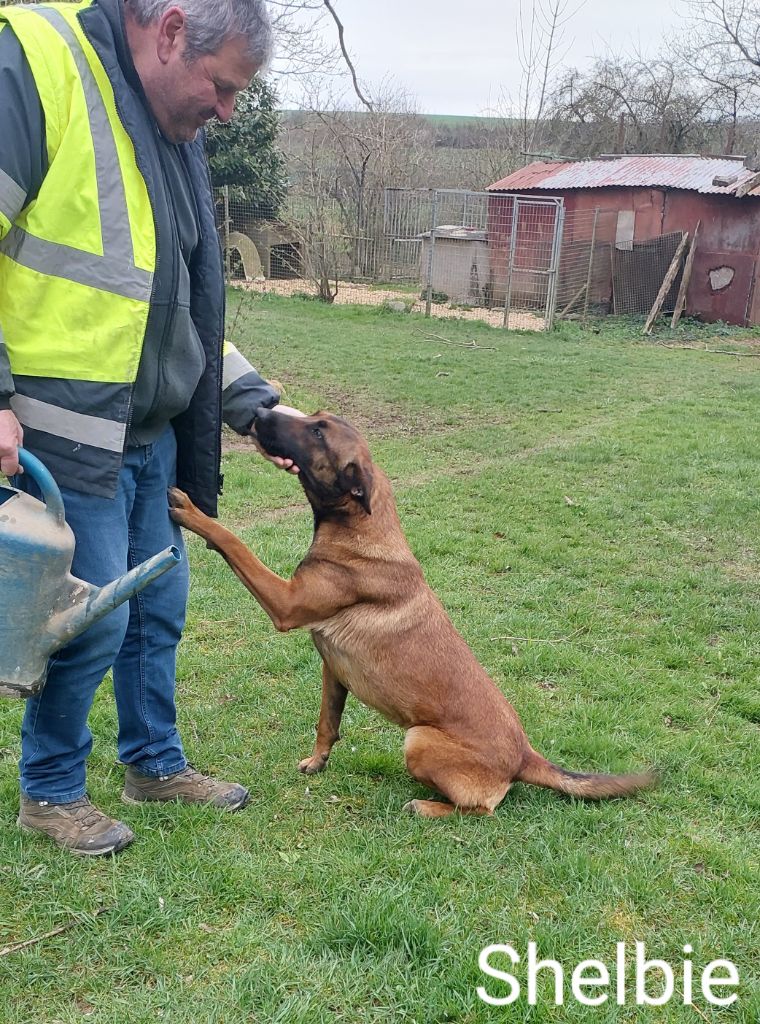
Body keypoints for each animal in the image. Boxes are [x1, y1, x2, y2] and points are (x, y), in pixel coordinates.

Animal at [167, 407, 655, 815]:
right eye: (314, 417)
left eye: (318, 432)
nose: (261, 411)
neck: (359, 526)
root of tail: (524, 756)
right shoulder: (333, 670)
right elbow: (328, 723)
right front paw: (317, 762)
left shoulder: (285, 603)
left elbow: (233, 542)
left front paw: (193, 513)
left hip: (417, 740)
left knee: (480, 809)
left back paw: (427, 807)